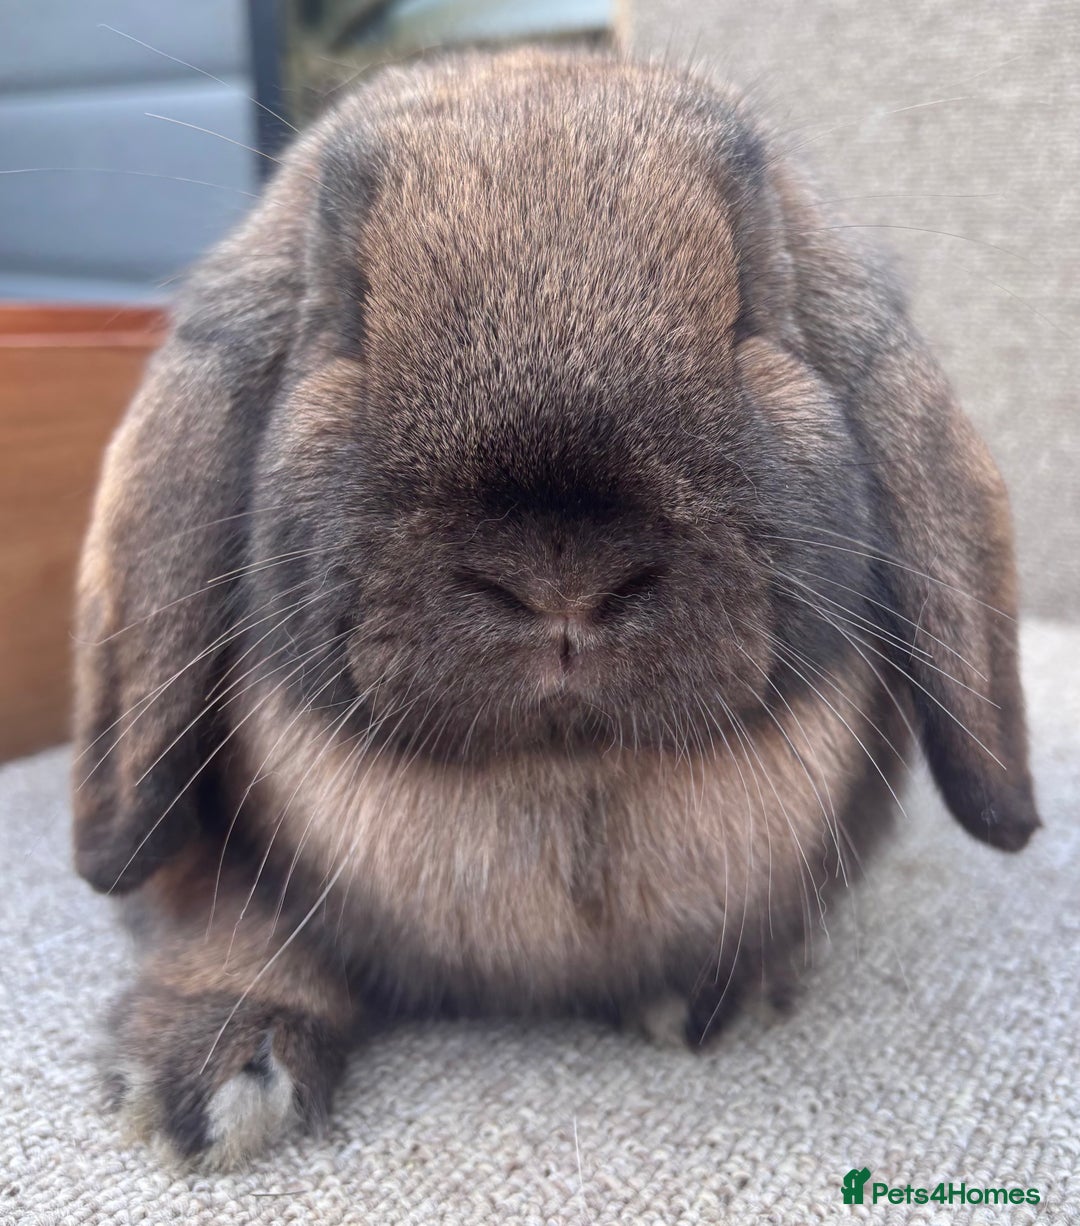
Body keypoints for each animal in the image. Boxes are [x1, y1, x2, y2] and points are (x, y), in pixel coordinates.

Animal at [71, 47, 1040, 1168]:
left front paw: (707, 999)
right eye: (343, 317)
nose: (562, 576)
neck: (565, 786)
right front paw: (210, 1077)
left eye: (752, 311)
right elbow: (225, 921)